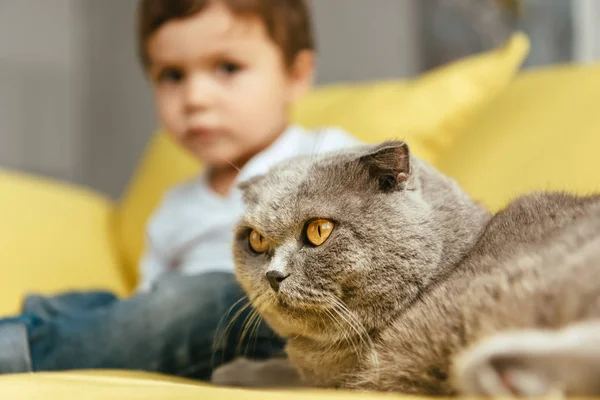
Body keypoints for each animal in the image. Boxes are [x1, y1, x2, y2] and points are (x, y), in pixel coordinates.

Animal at [224, 141, 600, 396]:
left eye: (319, 230)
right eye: (256, 240)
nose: (273, 275)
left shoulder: (345, 375)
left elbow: (283, 372)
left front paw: (235, 372)